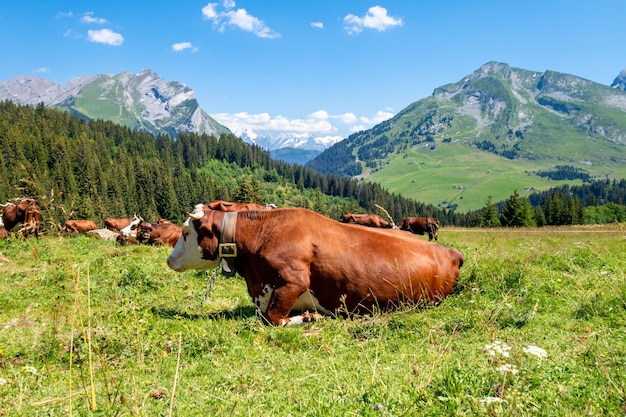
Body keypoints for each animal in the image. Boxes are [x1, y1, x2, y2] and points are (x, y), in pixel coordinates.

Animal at [167, 205, 464, 324]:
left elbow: (272, 318)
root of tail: (450, 251)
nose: (169, 259)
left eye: (186, 232)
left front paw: (308, 317)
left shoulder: (294, 281)